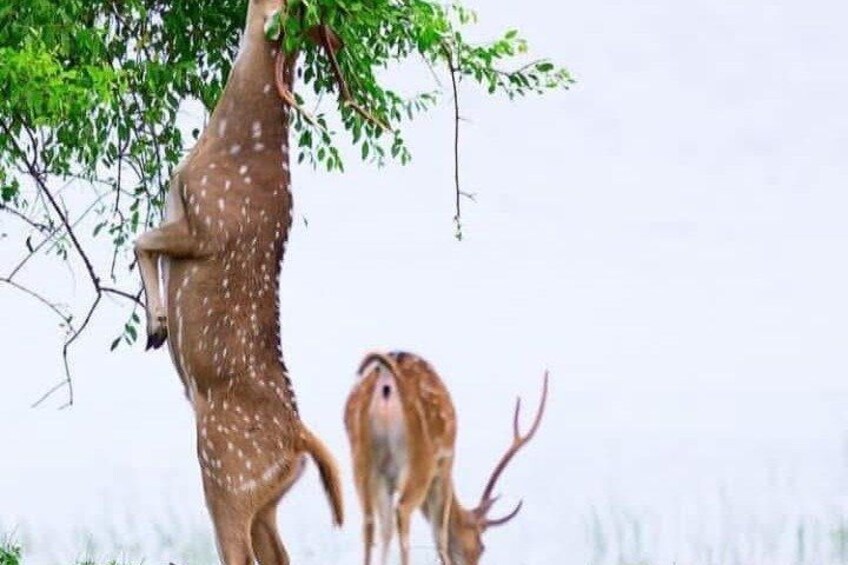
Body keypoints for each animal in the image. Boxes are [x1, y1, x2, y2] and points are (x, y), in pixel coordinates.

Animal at [133, 1, 343, 562]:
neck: (227, 138)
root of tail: (299, 440)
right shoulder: (179, 204)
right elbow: (147, 244)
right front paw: (158, 325)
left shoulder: (206, 225)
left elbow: (139, 240)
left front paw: (156, 326)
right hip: (267, 498)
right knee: (278, 553)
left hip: (225, 472)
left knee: (237, 548)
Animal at [344, 351, 549, 565]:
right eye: (481, 547)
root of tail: (387, 374)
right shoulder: (444, 465)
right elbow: (440, 534)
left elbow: (386, 531)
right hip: (421, 460)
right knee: (403, 511)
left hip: (360, 460)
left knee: (370, 521)